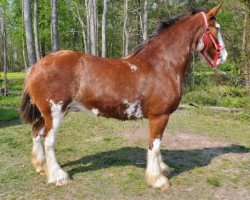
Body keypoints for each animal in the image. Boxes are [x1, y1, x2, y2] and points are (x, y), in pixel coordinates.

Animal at [20, 4, 227, 191]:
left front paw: (163, 170)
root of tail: (35, 66)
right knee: (49, 141)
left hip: (47, 113)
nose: (224, 56)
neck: (161, 64)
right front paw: (158, 180)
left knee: (36, 132)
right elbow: (154, 146)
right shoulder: (159, 117)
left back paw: (41, 167)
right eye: (216, 28)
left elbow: (157, 147)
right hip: (55, 113)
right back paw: (58, 177)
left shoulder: (159, 118)